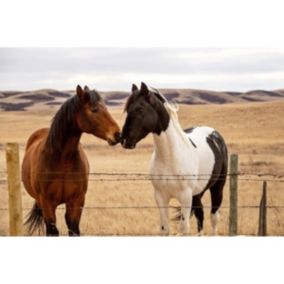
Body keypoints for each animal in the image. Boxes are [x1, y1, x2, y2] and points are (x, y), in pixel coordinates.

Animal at [21, 84, 120, 235]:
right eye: (94, 109)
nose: (118, 134)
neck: (63, 160)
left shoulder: (76, 201)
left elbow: (74, 229)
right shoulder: (47, 203)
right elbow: (52, 231)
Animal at [121, 82, 227, 235]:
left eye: (140, 109)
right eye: (127, 109)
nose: (123, 140)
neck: (169, 157)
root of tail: (215, 134)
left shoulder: (185, 197)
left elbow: (184, 228)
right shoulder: (161, 197)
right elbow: (165, 229)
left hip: (217, 187)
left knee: (214, 218)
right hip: (197, 193)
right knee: (200, 215)